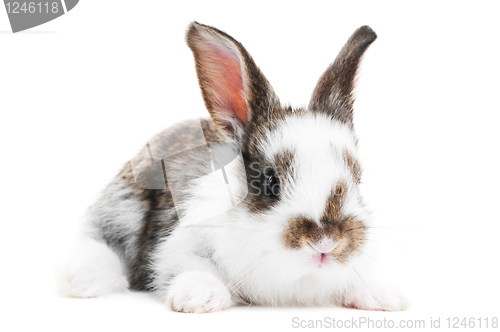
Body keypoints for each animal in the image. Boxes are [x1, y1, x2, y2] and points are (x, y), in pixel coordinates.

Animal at [58, 22, 408, 312]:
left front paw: (385, 296)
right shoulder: (179, 245)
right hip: (122, 211)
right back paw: (84, 282)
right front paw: (199, 296)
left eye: (357, 180)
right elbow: (190, 266)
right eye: (270, 183)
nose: (326, 244)